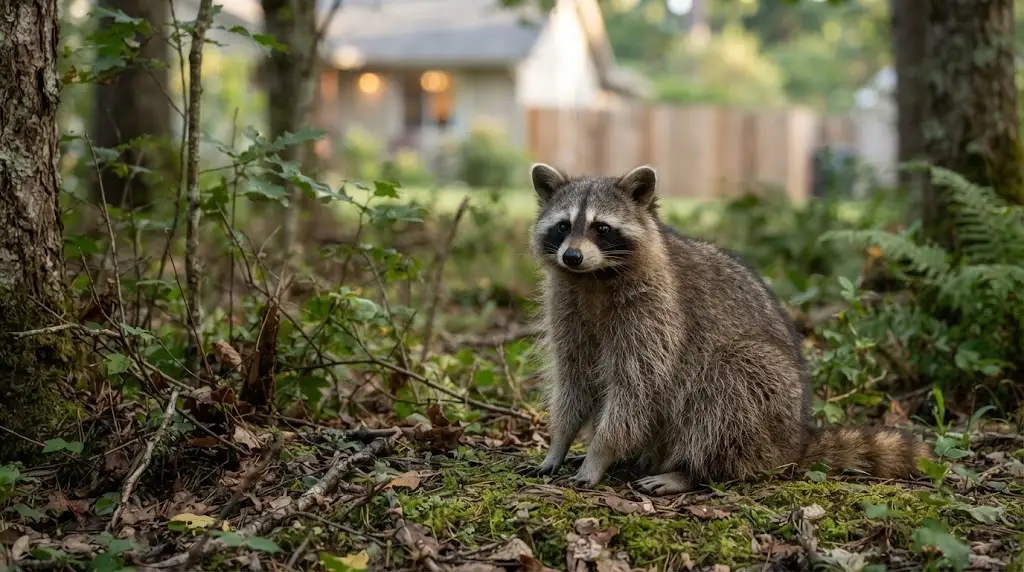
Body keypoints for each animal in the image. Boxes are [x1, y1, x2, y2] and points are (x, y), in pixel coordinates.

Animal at [525, 162, 930, 495]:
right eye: (563, 226)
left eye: (602, 228)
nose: (572, 256)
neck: (593, 278)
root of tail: (795, 439)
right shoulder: (567, 307)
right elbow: (574, 377)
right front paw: (560, 443)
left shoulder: (656, 313)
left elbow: (638, 388)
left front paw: (601, 451)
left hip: (767, 400)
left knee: (726, 383)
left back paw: (692, 471)